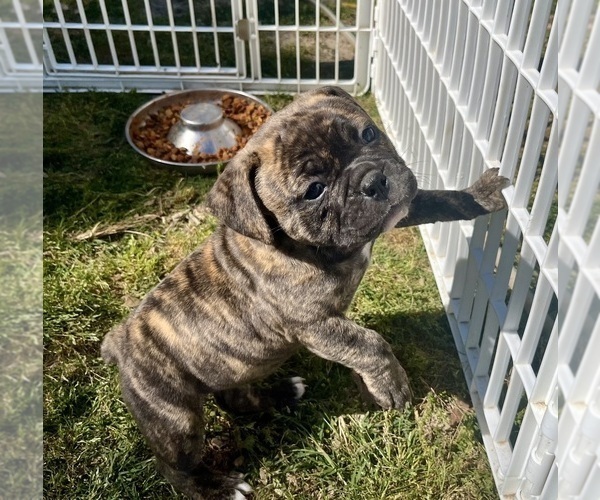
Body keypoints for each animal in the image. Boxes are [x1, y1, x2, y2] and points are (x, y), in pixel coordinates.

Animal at [102, 87, 506, 500]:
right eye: (314, 191)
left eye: (368, 134)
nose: (374, 181)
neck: (307, 246)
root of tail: (118, 341)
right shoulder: (315, 326)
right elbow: (370, 343)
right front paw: (391, 385)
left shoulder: (397, 212)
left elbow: (436, 200)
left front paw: (479, 196)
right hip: (175, 417)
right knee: (174, 465)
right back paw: (216, 487)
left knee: (236, 399)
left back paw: (282, 393)